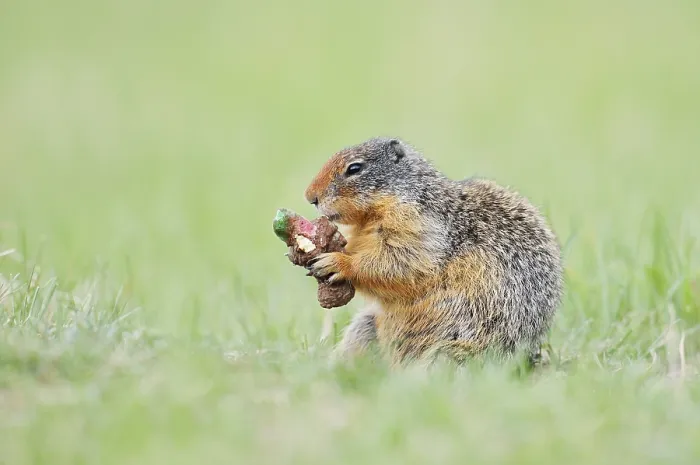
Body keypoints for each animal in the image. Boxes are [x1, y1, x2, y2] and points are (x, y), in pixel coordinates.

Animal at [304, 137, 563, 366]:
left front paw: (336, 262)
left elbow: (399, 262)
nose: (310, 197)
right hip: (365, 327)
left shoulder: (418, 227)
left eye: (354, 168)